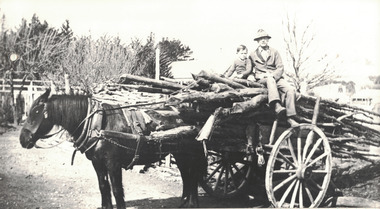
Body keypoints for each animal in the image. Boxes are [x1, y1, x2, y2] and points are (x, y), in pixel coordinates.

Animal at [19, 89, 206, 208]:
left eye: (36, 112)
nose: (23, 139)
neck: (98, 125)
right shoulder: (97, 163)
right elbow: (104, 187)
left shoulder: (113, 164)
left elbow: (117, 191)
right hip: (179, 154)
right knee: (186, 175)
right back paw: (184, 201)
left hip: (188, 154)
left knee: (192, 175)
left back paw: (192, 203)